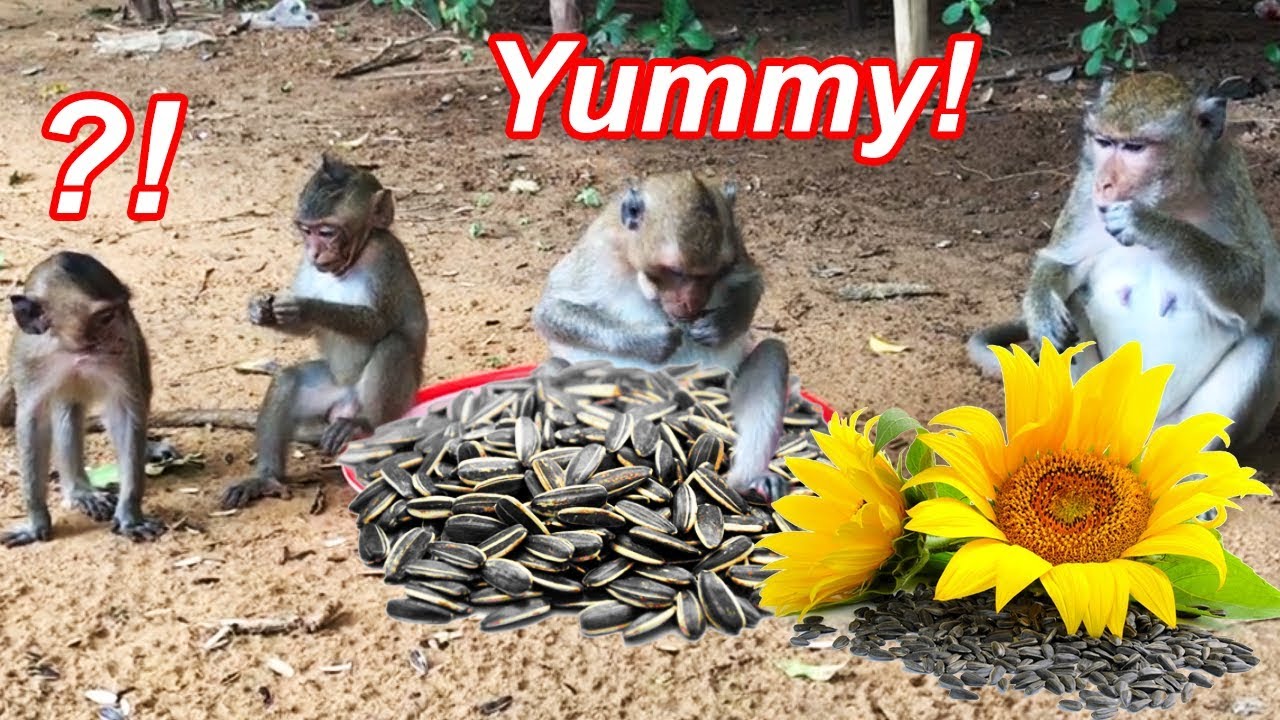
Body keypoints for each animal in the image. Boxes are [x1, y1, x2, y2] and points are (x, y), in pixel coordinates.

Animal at [2, 251, 165, 546]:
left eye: (124, 309)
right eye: (105, 316)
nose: (122, 337)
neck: (71, 351)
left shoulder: (122, 358)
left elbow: (125, 413)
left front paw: (130, 514)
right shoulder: (29, 361)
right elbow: (33, 423)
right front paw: (36, 521)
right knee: (68, 409)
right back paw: (80, 490)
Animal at [219, 153, 428, 508]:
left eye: (328, 232)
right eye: (306, 231)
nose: (315, 252)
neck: (351, 263)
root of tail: (345, 405)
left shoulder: (384, 255)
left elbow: (378, 323)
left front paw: (304, 306)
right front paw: (261, 310)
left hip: (400, 399)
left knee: (393, 345)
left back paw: (361, 424)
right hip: (330, 392)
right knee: (288, 379)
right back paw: (266, 478)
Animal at [532, 171, 795, 503]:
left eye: (715, 272)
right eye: (676, 271)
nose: (693, 304)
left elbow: (752, 282)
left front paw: (720, 326)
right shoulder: (598, 253)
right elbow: (551, 311)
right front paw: (652, 341)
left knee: (772, 352)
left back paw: (748, 481)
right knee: (556, 367)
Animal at [968, 71, 1280, 449]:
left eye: (1135, 147)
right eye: (1105, 142)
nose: (1105, 185)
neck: (1171, 199)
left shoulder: (1229, 185)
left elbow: (1251, 286)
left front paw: (1150, 224)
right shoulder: (1084, 188)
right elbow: (1063, 263)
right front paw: (1041, 310)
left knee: (1265, 333)